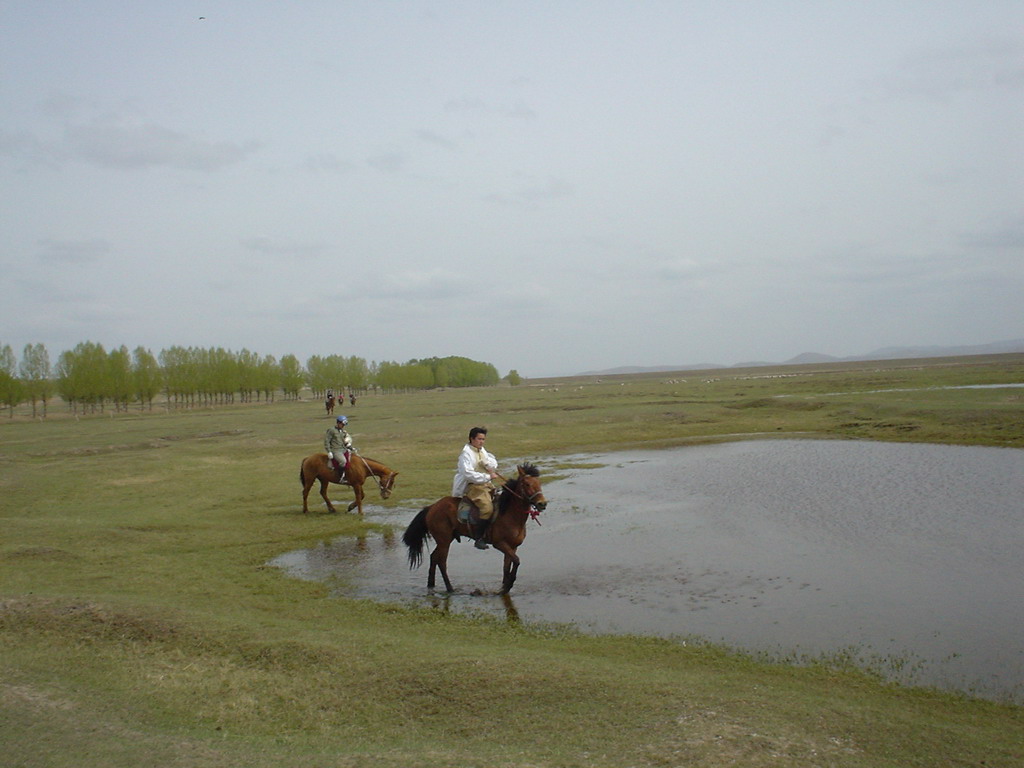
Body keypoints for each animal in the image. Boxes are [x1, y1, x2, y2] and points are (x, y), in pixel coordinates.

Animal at [401, 462, 548, 593]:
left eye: (539, 483)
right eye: (527, 484)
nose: (542, 503)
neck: (509, 514)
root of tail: (432, 507)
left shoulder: (512, 547)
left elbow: (507, 566)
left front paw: (504, 587)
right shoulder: (500, 544)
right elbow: (516, 561)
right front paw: (508, 585)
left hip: (446, 540)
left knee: (434, 557)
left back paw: (431, 585)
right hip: (444, 541)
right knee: (441, 562)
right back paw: (450, 588)